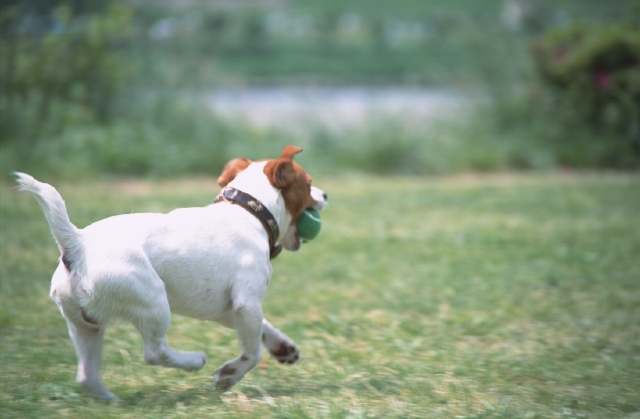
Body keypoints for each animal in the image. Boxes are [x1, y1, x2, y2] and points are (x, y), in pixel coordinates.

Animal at [14, 146, 328, 402]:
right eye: (309, 183)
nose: (325, 195)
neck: (248, 211)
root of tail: (77, 243)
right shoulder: (246, 304)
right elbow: (253, 352)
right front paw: (229, 375)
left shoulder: (226, 310)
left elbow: (264, 327)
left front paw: (283, 347)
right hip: (152, 301)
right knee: (155, 352)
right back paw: (193, 360)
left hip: (85, 326)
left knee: (86, 376)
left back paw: (109, 400)